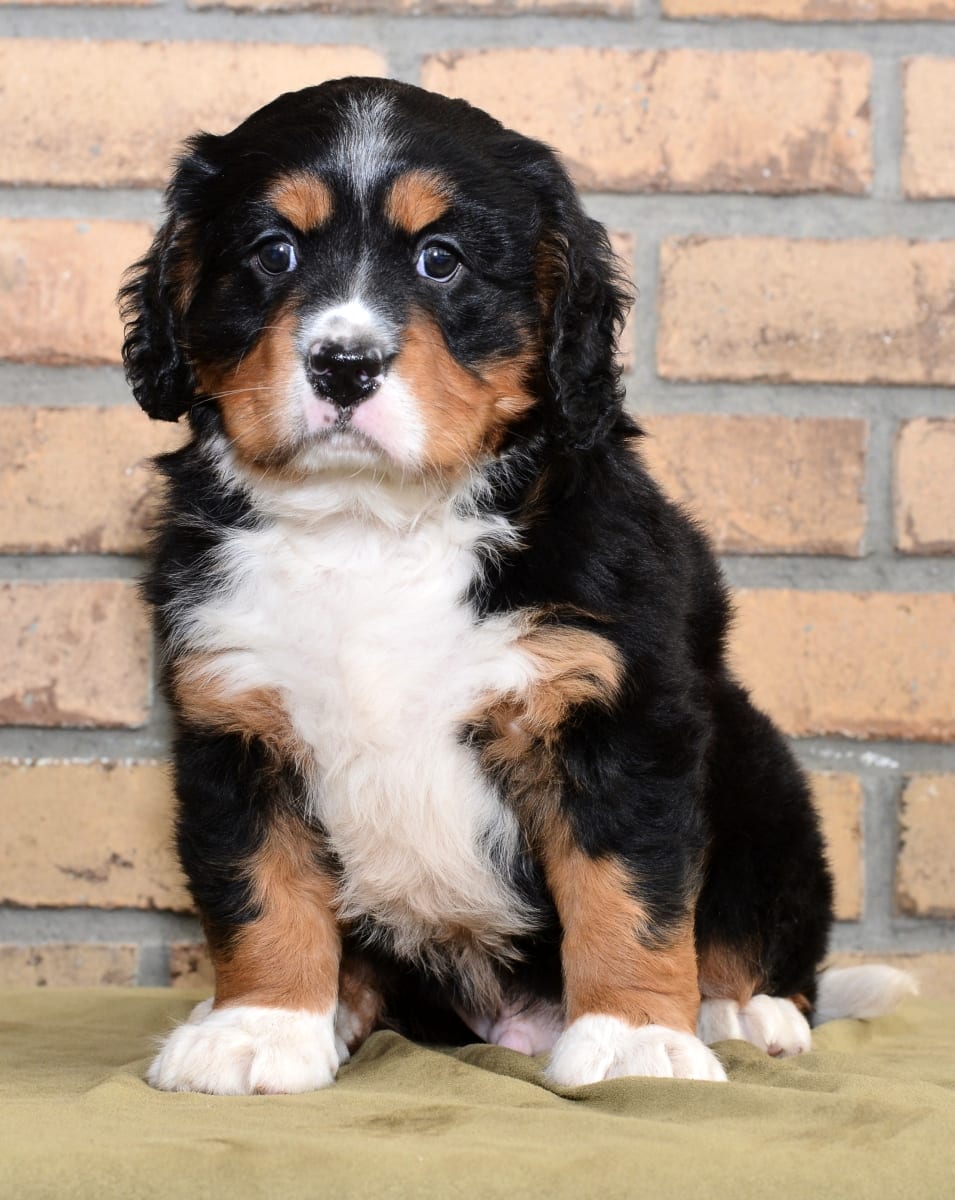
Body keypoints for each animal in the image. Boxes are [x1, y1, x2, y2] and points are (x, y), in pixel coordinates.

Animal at [122, 77, 911, 1099]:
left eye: (440, 260)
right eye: (274, 252)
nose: (344, 364)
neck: (370, 524)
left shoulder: (617, 715)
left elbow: (630, 890)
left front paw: (633, 1037)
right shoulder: (234, 720)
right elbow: (259, 890)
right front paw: (258, 1028)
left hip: (760, 773)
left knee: (761, 932)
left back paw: (743, 1010)